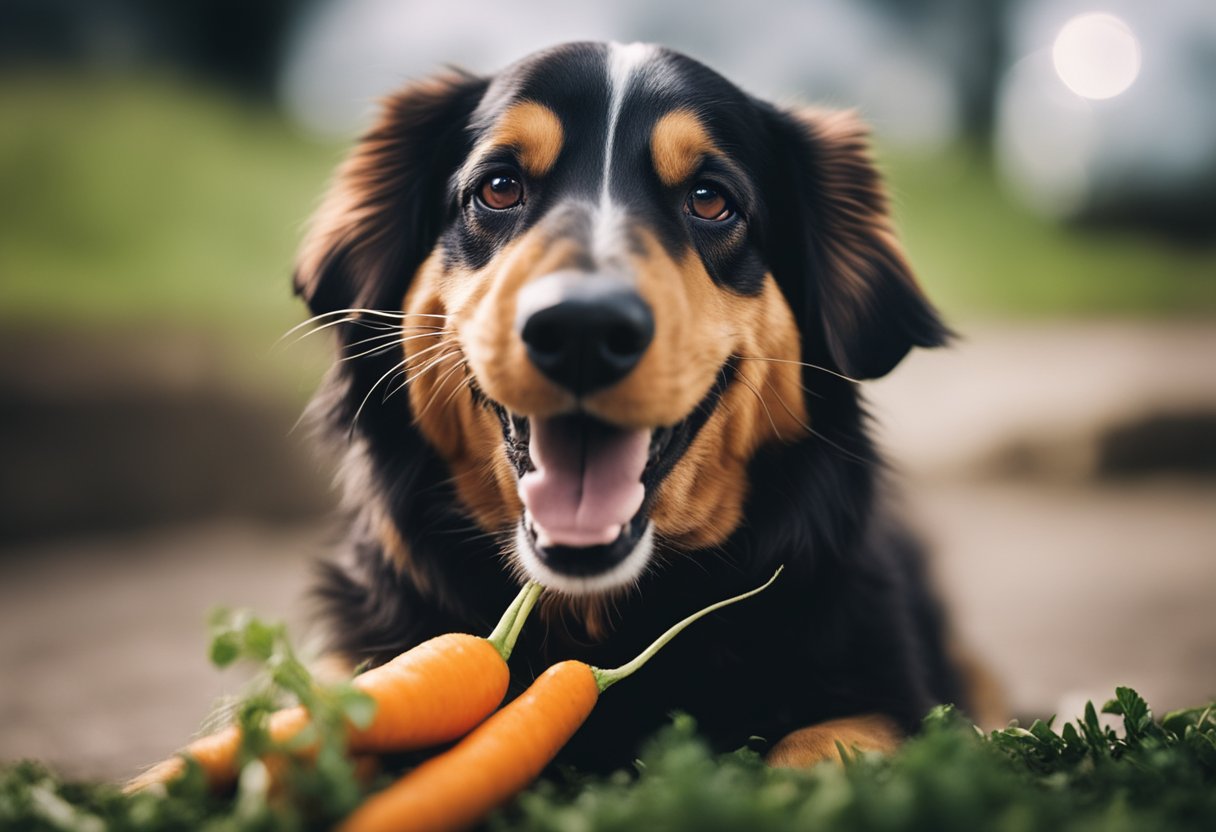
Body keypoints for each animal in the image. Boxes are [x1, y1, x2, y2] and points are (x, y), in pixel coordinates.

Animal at [299, 42, 982, 768]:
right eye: (499, 188)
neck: (595, 618)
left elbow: (822, 745)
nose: (582, 331)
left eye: (710, 200)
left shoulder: (885, 696)